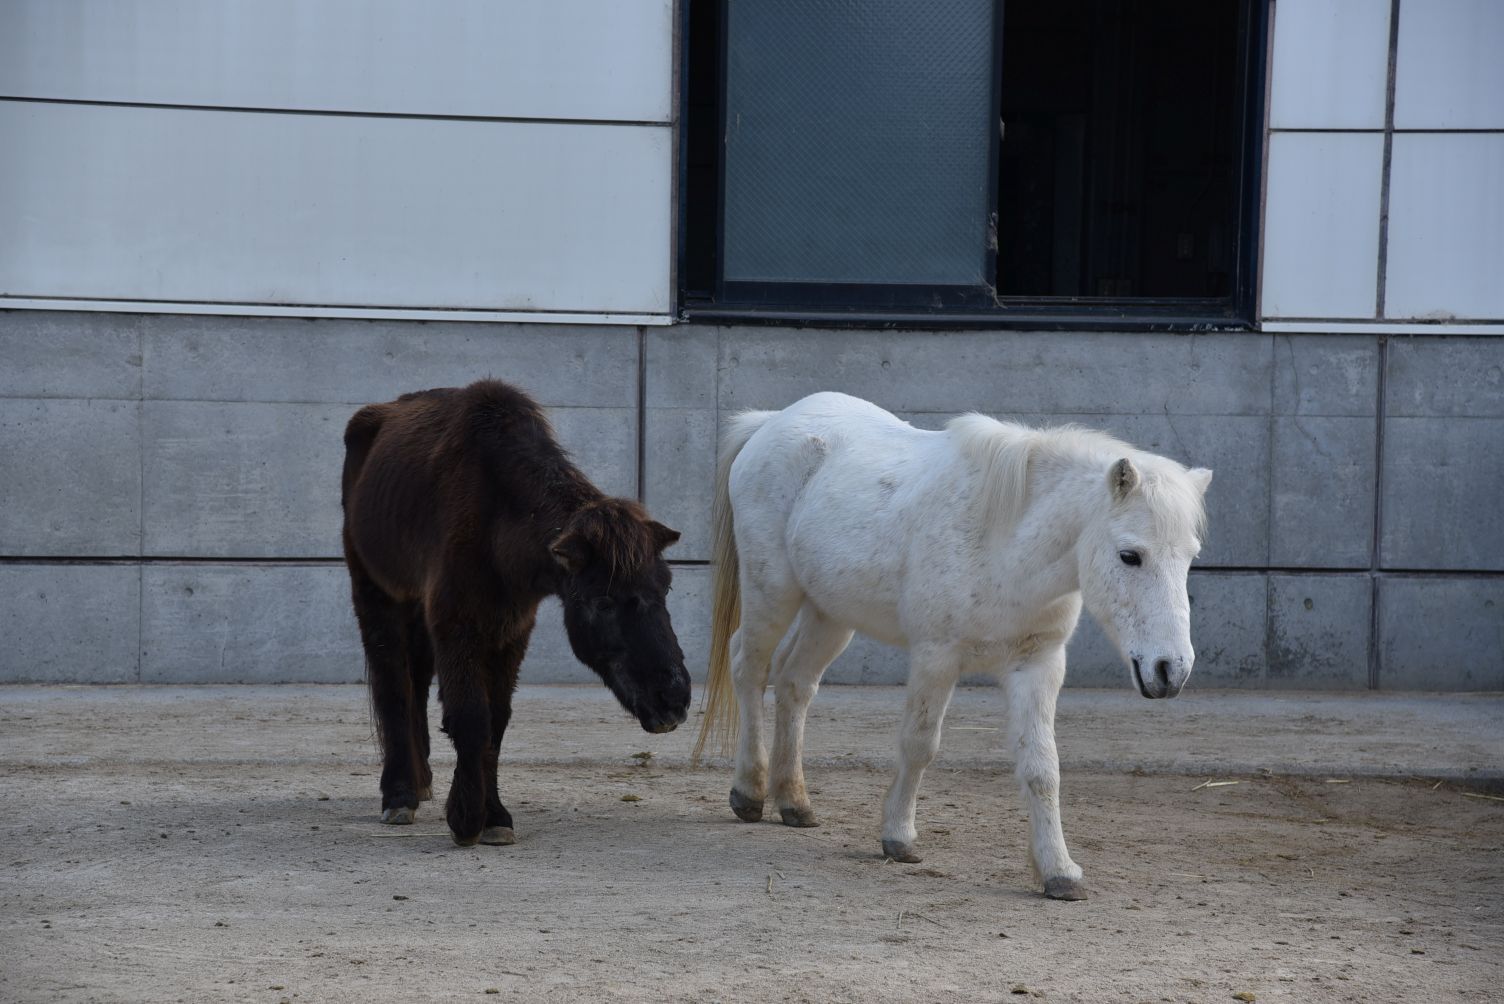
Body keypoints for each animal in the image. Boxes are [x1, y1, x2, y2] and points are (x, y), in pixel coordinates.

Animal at [341, 379, 691, 847]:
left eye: (665, 587)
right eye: (603, 602)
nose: (673, 698)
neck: (499, 517)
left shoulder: (509, 631)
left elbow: (496, 723)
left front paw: (494, 817)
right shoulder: (458, 625)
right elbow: (471, 717)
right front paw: (467, 818)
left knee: (414, 679)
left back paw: (422, 780)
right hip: (375, 590)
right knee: (392, 682)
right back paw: (399, 793)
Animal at [694, 392, 1212, 900]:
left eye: (1190, 558)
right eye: (1130, 555)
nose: (1171, 669)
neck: (1006, 544)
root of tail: (771, 422)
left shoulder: (1038, 665)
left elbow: (1042, 766)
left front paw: (1059, 871)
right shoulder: (936, 657)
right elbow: (919, 744)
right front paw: (899, 838)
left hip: (831, 615)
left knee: (795, 683)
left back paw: (794, 802)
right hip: (771, 594)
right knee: (749, 668)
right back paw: (749, 792)